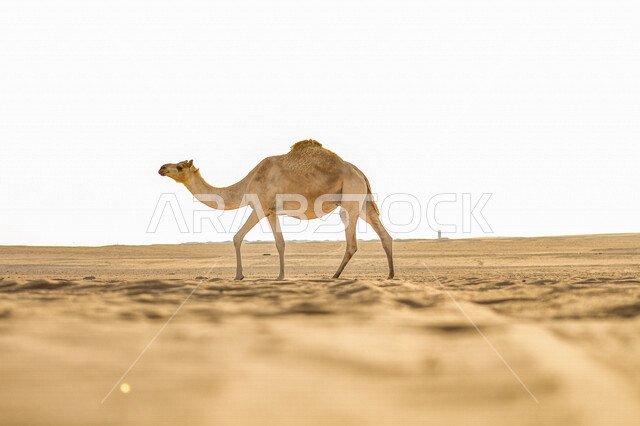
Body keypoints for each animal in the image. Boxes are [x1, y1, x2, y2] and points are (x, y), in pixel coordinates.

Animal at [158, 140, 394, 280]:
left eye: (180, 167)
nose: (162, 168)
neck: (247, 183)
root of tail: (359, 172)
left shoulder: (260, 206)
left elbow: (237, 237)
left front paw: (239, 275)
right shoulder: (271, 211)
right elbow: (280, 243)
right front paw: (281, 276)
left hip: (350, 202)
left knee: (352, 243)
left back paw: (335, 275)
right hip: (362, 203)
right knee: (384, 235)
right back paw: (391, 275)